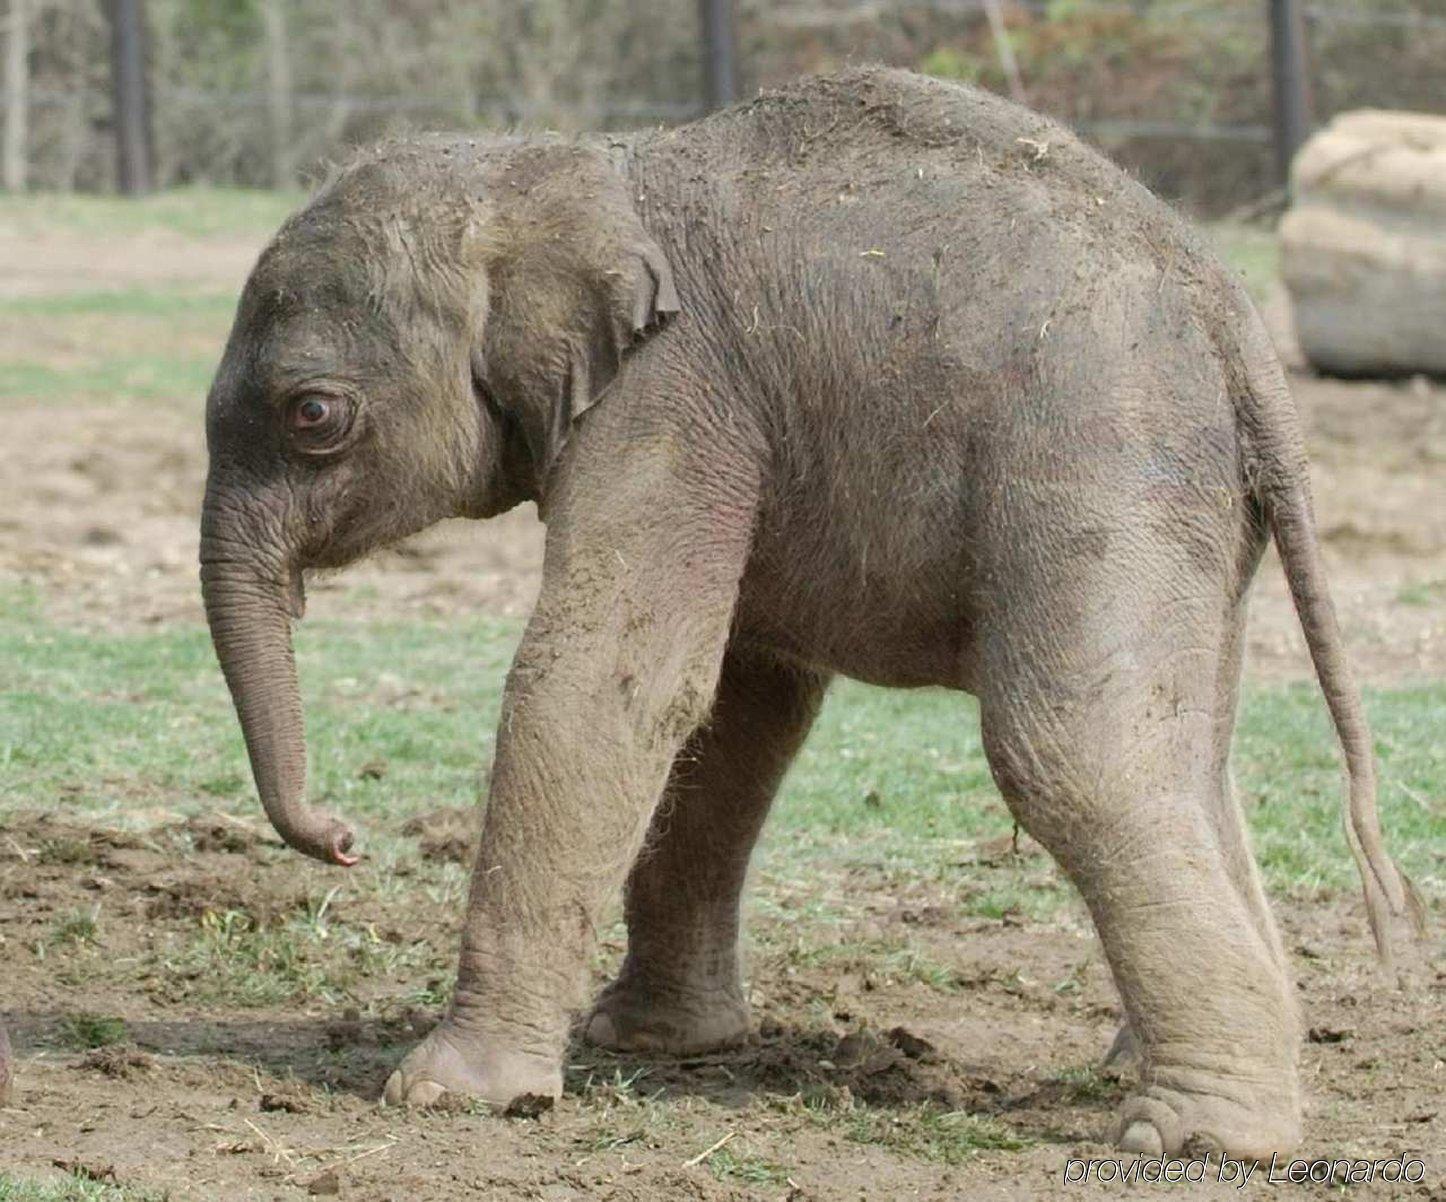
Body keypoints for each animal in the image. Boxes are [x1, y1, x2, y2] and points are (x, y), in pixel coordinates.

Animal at [198, 67, 1417, 1157]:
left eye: (314, 415)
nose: (344, 838)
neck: (563, 165)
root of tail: (1241, 333)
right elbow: (737, 711)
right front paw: (649, 1041)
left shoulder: (672, 398)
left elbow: (609, 681)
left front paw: (450, 1096)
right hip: (1190, 512)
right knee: (1191, 753)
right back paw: (1171, 1069)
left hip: (1098, 461)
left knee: (1077, 753)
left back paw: (1203, 1134)